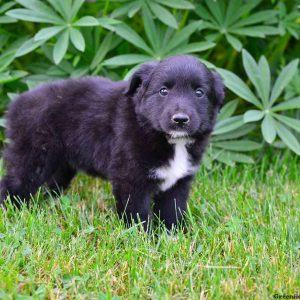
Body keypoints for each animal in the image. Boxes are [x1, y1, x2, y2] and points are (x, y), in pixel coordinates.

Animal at [0, 55, 224, 230]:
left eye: (199, 93)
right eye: (163, 91)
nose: (180, 119)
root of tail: (16, 104)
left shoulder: (178, 182)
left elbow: (173, 212)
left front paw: (175, 237)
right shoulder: (131, 180)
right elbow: (138, 215)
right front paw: (144, 241)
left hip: (61, 163)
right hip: (33, 156)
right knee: (13, 184)